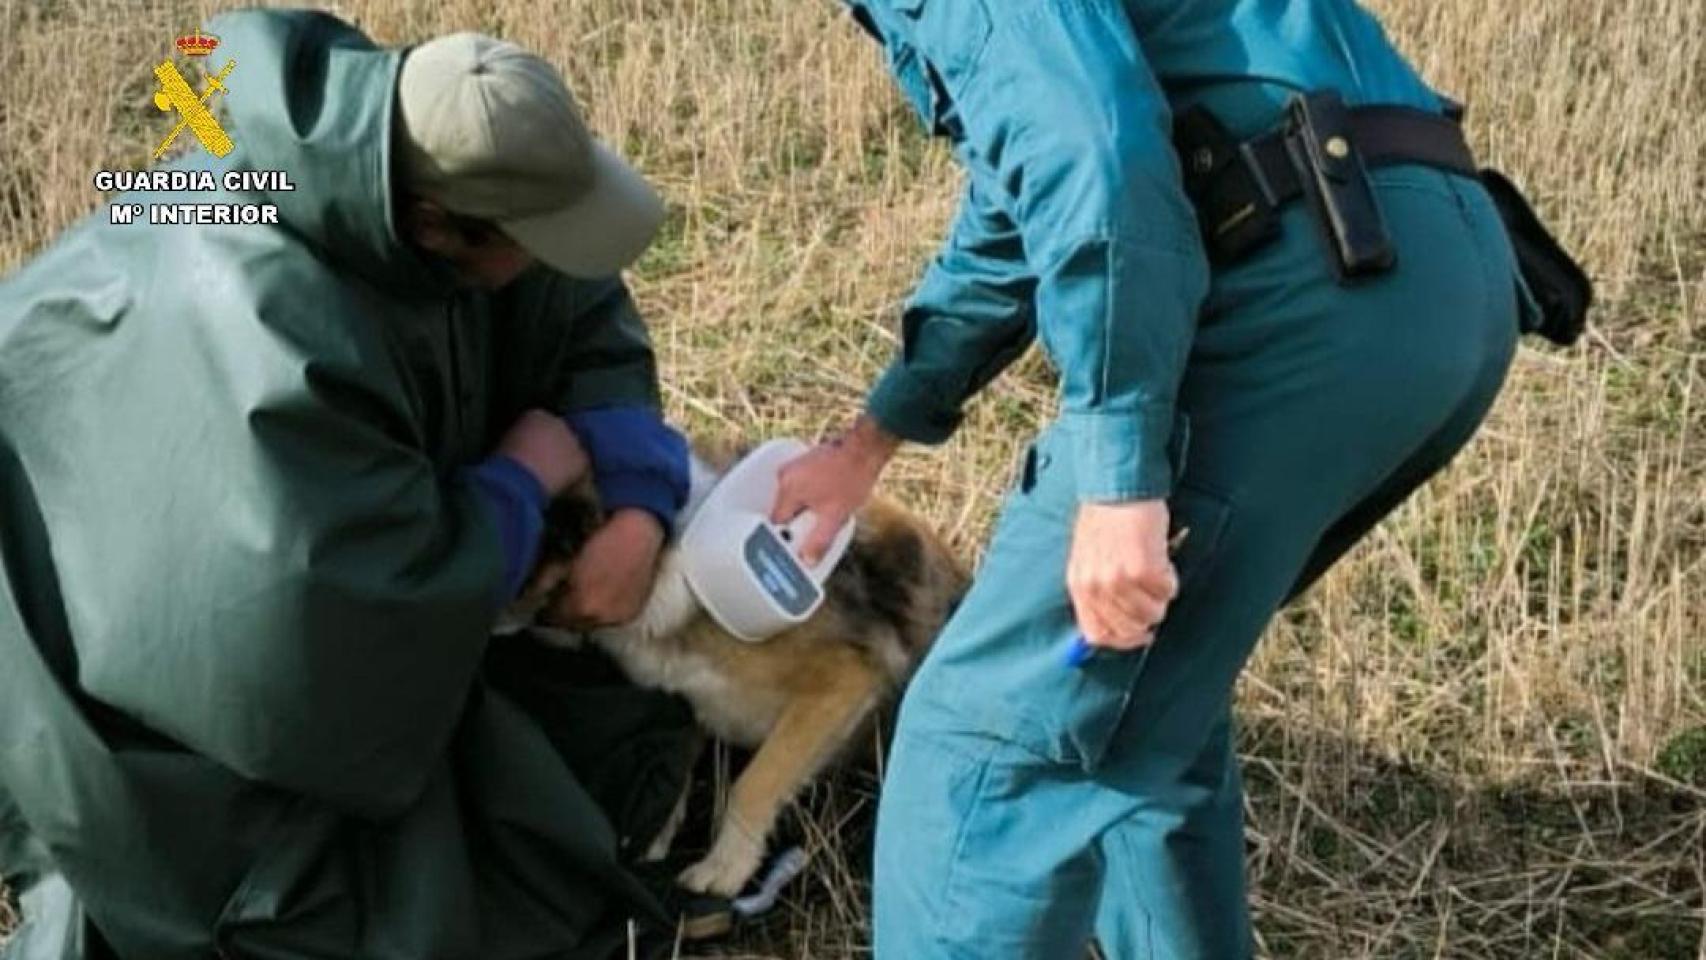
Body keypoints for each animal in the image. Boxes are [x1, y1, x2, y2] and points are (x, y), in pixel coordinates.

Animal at [498, 443, 969, 900]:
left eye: (541, 542)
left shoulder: (844, 678)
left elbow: (754, 783)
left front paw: (723, 869)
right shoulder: (688, 700)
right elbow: (677, 763)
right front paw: (658, 833)